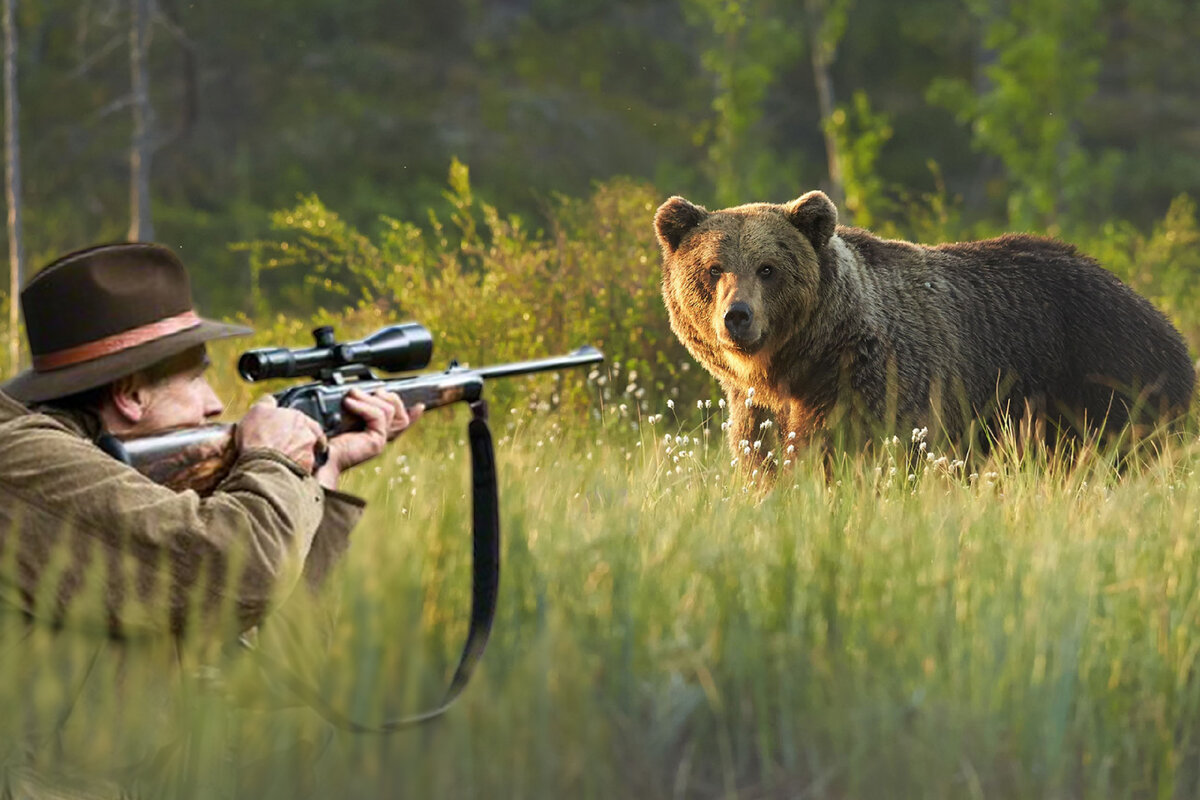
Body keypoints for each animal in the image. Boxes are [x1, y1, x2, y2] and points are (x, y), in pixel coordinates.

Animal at [662, 190, 1195, 472]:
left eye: (768, 268)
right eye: (713, 268)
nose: (738, 315)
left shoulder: (876, 381)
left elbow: (857, 451)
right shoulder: (757, 409)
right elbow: (766, 460)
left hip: (1105, 378)